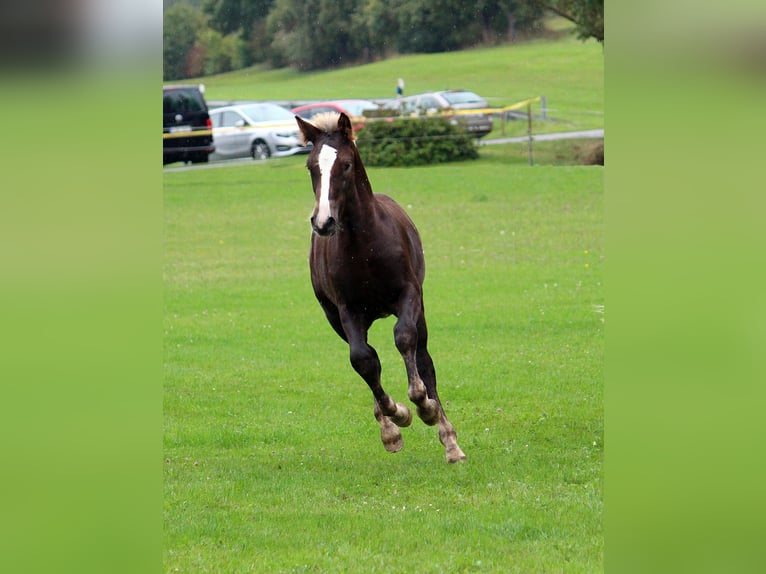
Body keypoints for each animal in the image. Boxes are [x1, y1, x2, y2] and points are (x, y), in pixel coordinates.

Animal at [295, 111, 466, 463]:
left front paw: (423, 406)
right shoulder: (346, 310)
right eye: (310, 166)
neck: (364, 246)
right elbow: (363, 359)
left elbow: (405, 340)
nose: (323, 222)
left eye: (346, 164)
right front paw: (396, 418)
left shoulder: (409, 295)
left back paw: (448, 438)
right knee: (366, 358)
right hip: (337, 318)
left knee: (424, 357)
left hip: (419, 308)